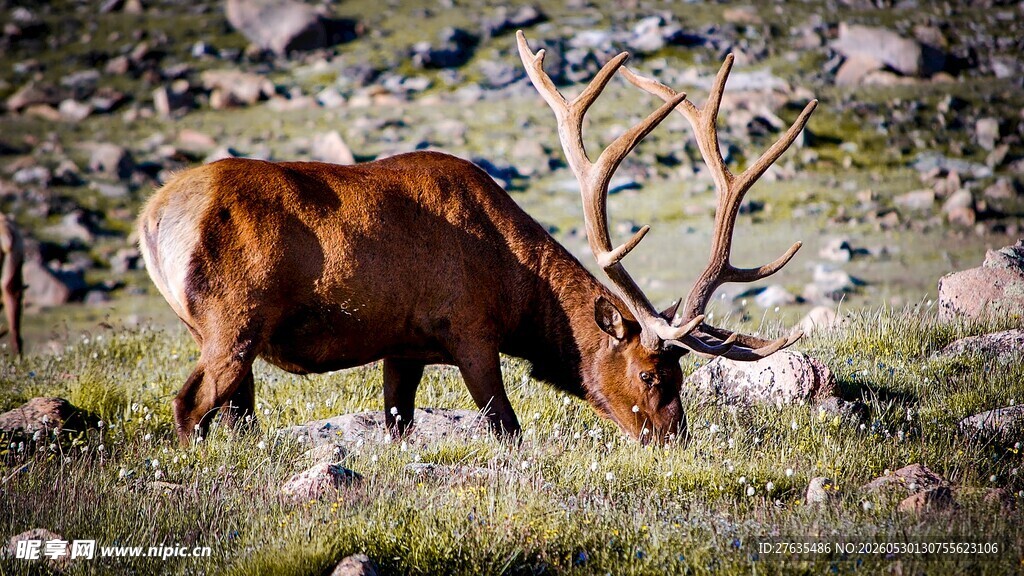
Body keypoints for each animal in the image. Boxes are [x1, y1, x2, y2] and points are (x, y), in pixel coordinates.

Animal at [138, 30, 816, 446]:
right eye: (653, 375)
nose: (675, 439)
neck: (519, 293)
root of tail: (152, 219)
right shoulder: (470, 330)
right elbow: (507, 428)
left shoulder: (403, 346)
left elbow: (399, 423)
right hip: (233, 319)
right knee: (189, 404)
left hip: (224, 333)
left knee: (234, 412)